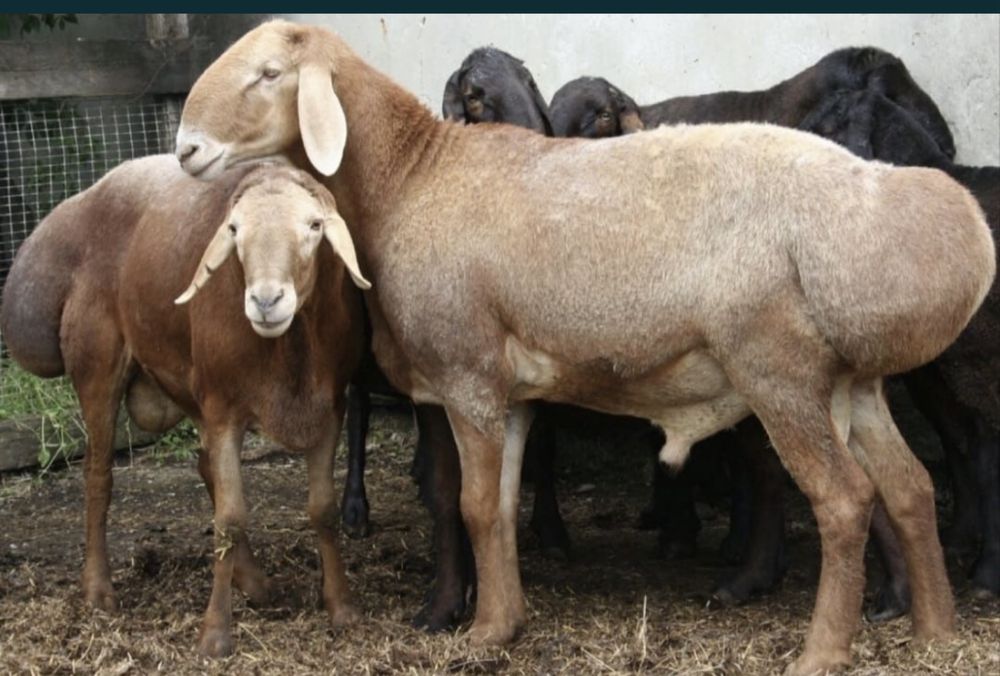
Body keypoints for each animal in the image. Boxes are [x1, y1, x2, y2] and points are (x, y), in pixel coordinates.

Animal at [0, 158, 371, 657]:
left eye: (314, 226)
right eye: (234, 230)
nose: (266, 301)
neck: (288, 349)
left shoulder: (328, 408)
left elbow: (323, 510)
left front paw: (342, 608)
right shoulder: (224, 409)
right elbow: (229, 521)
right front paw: (215, 633)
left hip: (192, 383)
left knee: (203, 467)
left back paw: (255, 583)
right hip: (100, 362)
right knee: (98, 476)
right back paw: (99, 589)